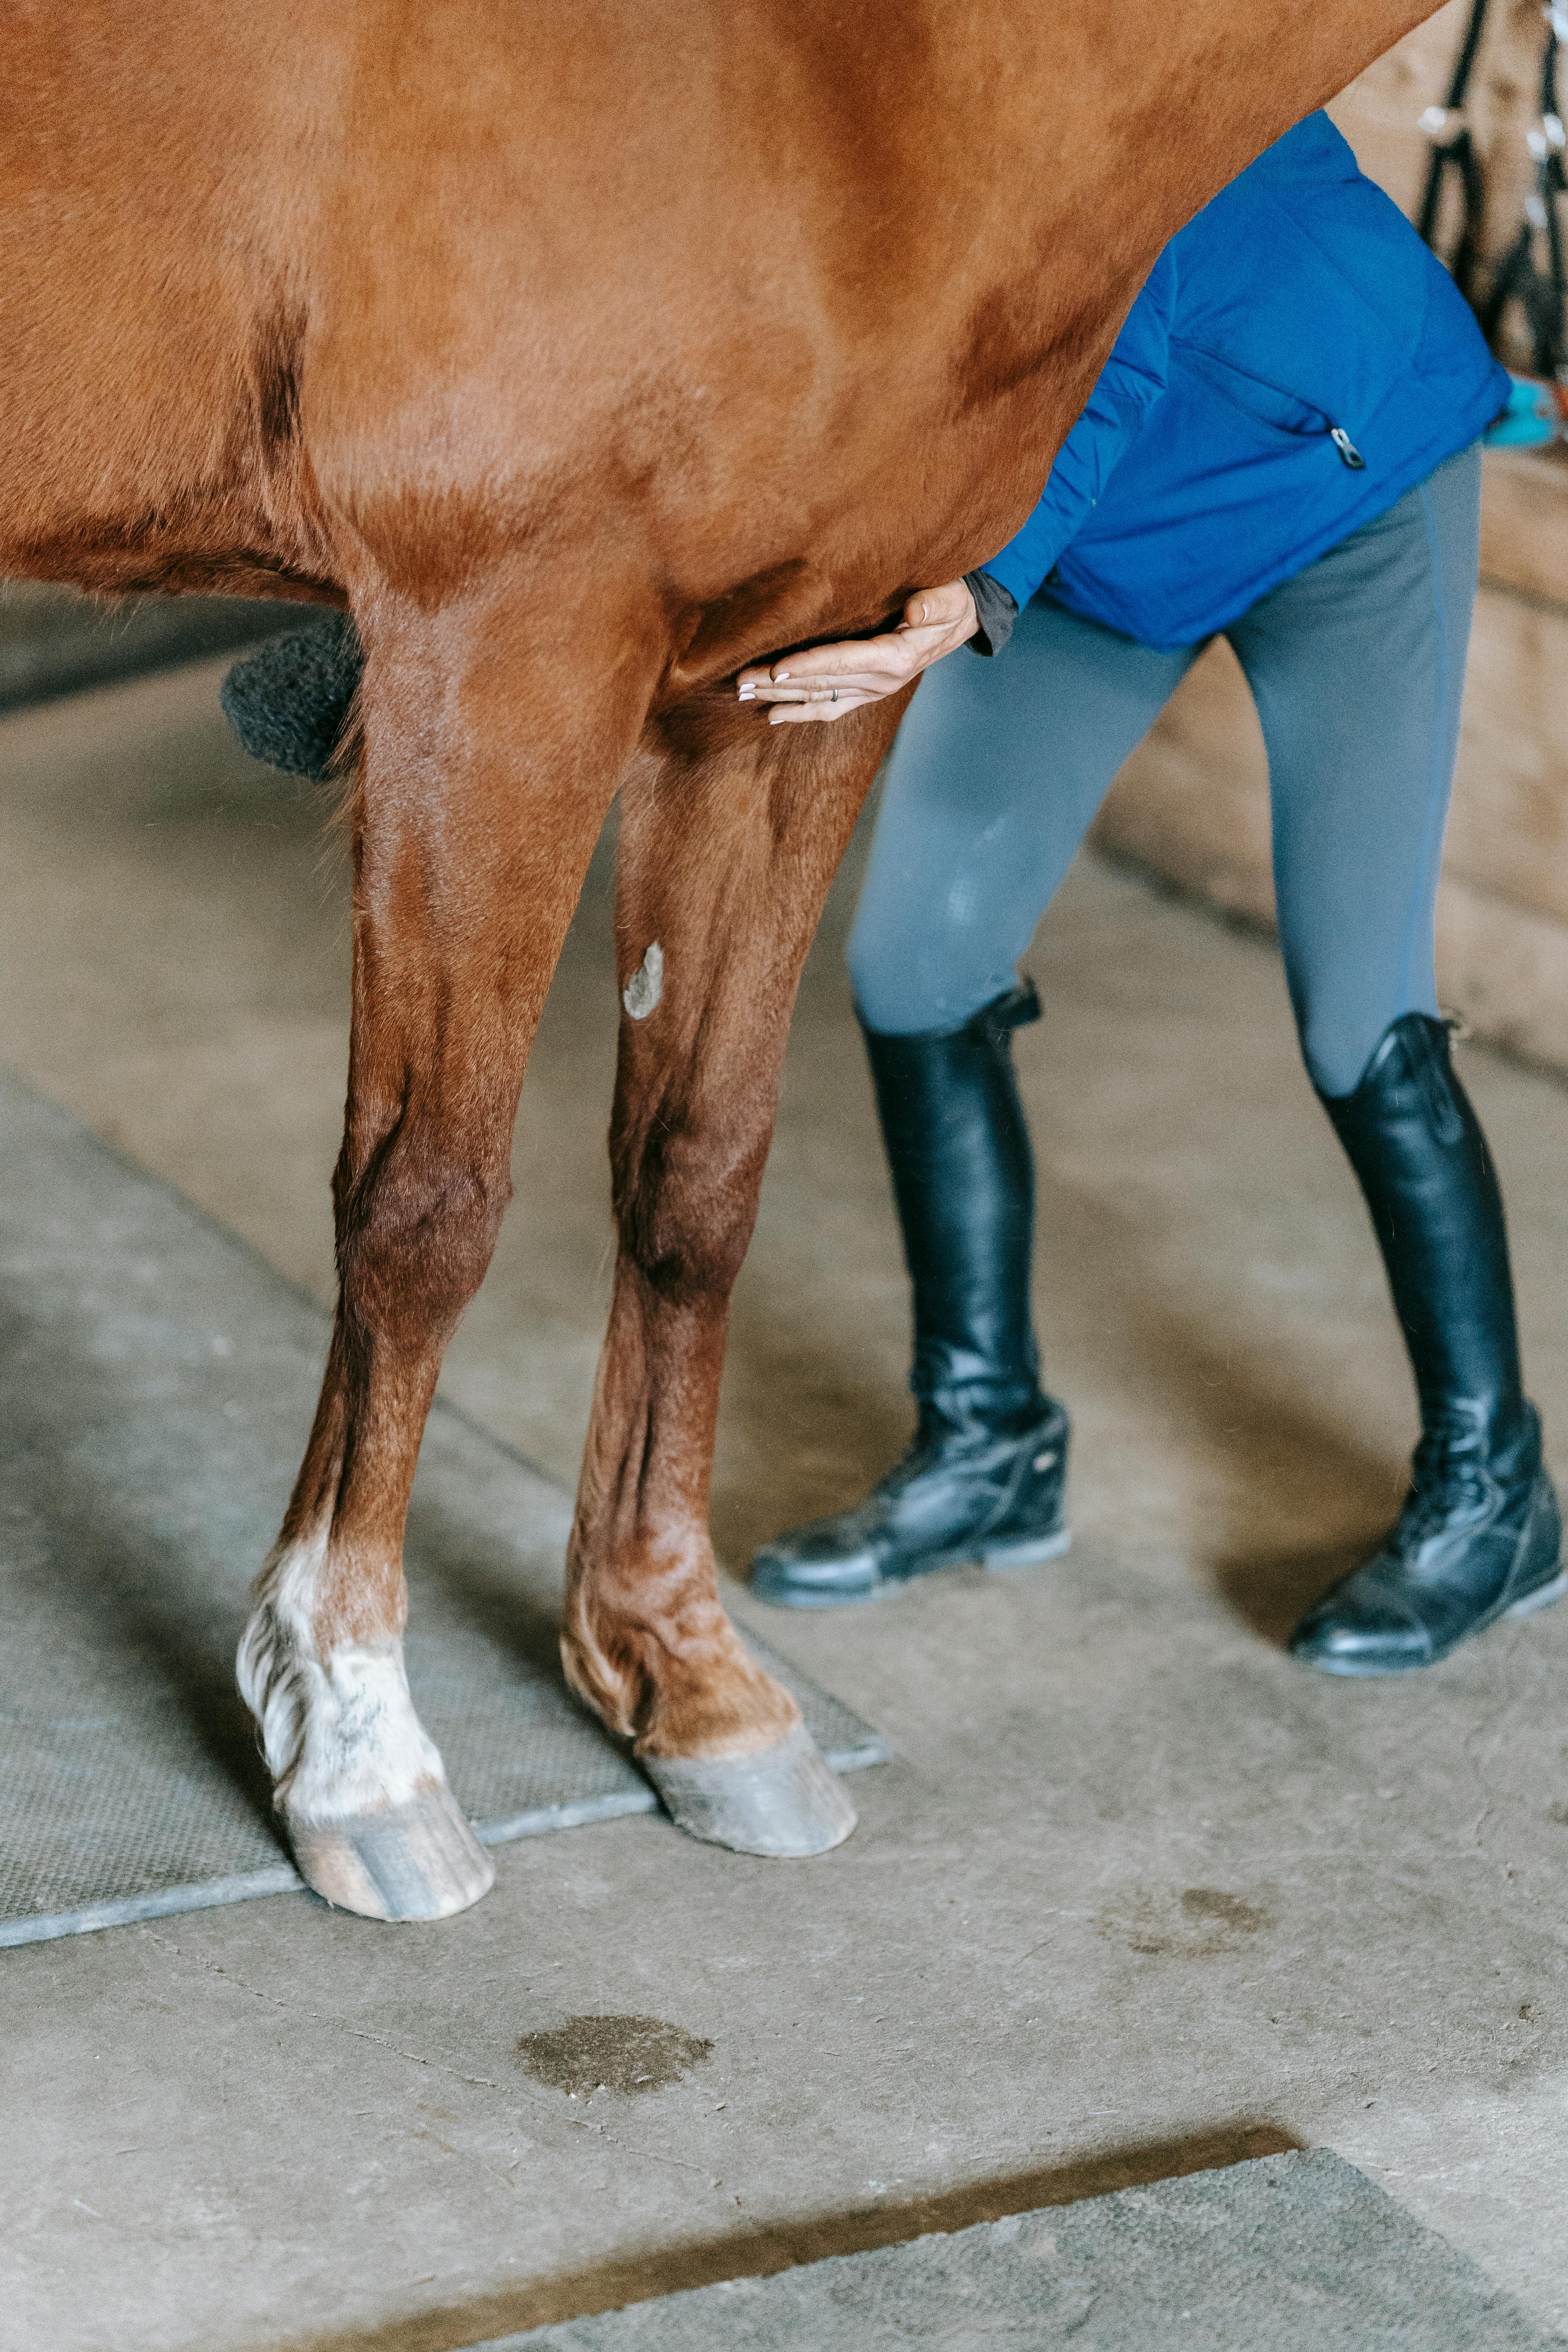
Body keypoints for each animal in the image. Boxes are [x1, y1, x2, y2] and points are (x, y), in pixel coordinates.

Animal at [0, 0, 1445, 1918]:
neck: (850, 72)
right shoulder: (503, 652)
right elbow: (425, 1207)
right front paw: (355, 1734)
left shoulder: (790, 683)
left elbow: (696, 1172)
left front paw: (677, 1674)